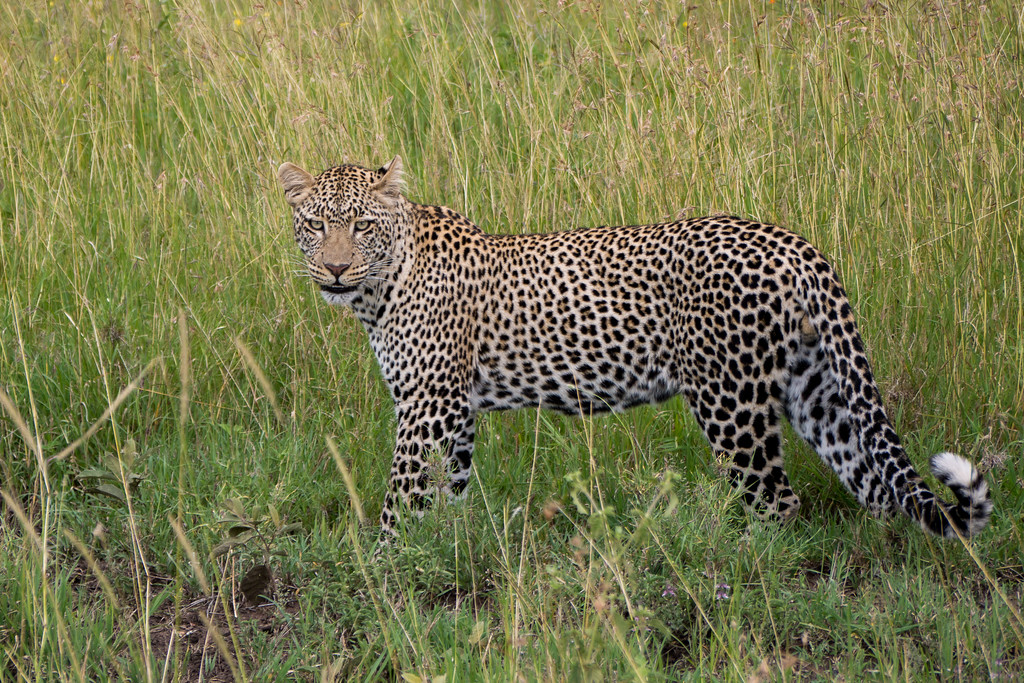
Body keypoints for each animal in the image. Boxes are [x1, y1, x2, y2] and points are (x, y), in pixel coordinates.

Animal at [276, 156, 992, 539]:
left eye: (361, 226)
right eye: (314, 226)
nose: (335, 270)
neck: (379, 288)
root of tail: (794, 243)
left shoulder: (426, 406)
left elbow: (400, 497)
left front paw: (385, 568)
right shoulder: (456, 412)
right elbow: (446, 491)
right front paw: (439, 553)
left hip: (732, 403)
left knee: (777, 499)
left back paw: (739, 565)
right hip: (815, 388)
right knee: (877, 485)